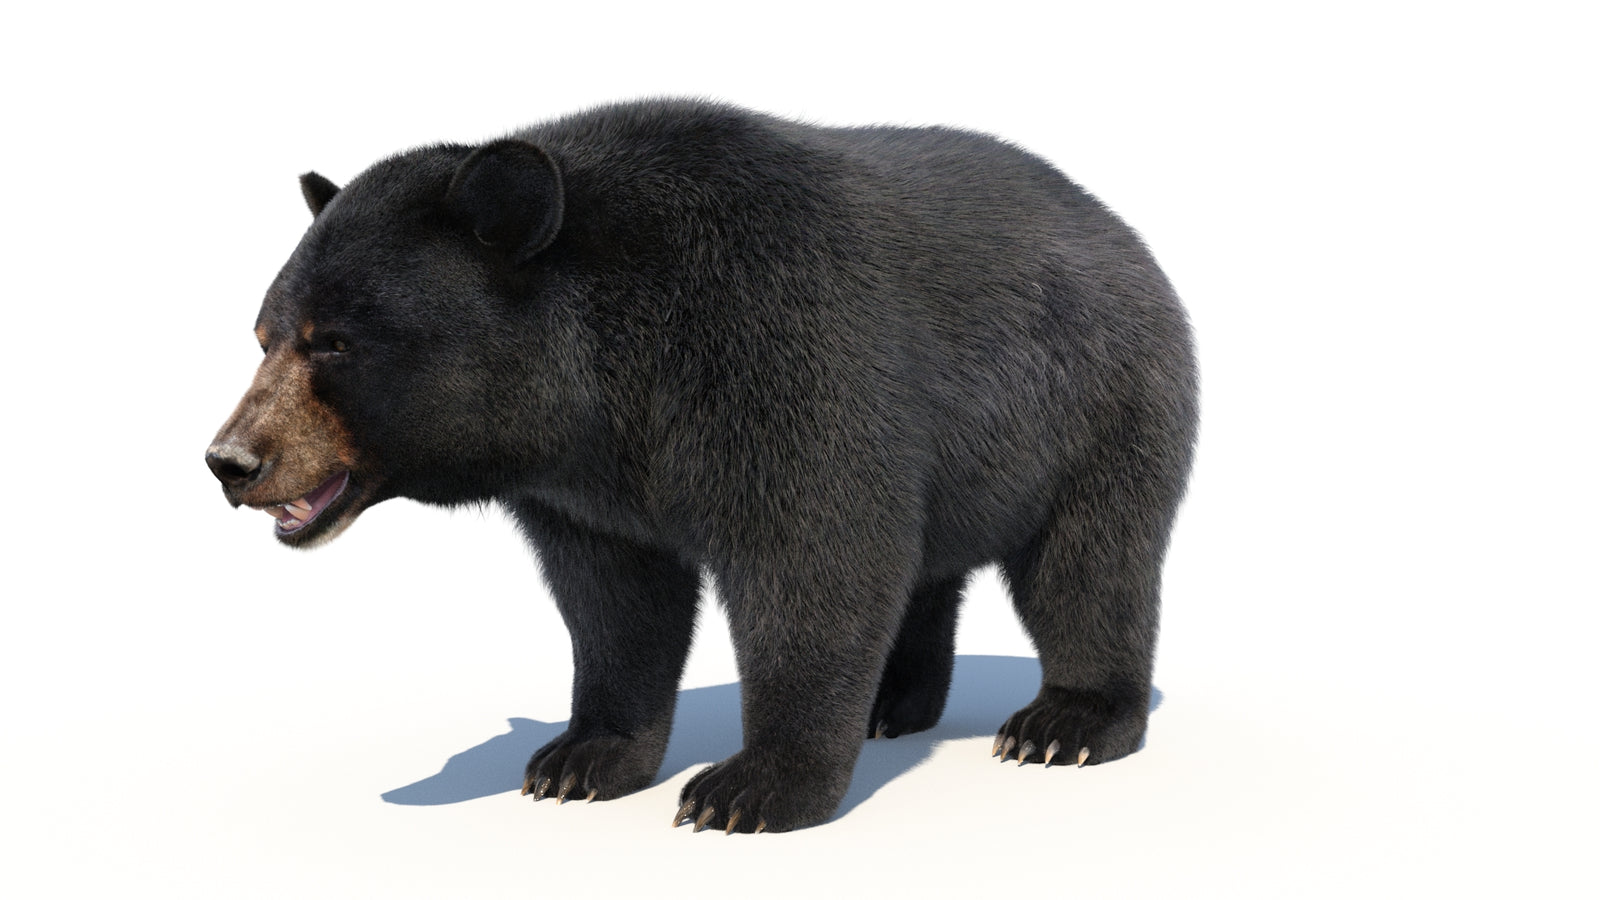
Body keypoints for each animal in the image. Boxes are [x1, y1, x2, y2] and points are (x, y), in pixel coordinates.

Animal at [205, 98, 1198, 833]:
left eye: (333, 341)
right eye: (263, 335)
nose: (230, 461)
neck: (606, 385)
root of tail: (1122, 230)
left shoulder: (779, 351)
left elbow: (816, 558)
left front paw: (752, 787)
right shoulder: (583, 486)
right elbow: (615, 600)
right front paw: (582, 757)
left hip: (1096, 401)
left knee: (1089, 565)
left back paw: (1065, 723)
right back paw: (893, 701)